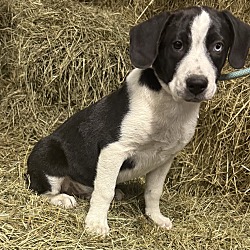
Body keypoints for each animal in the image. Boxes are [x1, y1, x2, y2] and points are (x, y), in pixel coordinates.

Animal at [26, 6, 249, 236]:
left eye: (218, 46)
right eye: (177, 45)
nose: (197, 84)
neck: (168, 104)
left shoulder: (165, 158)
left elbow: (153, 191)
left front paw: (155, 217)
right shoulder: (113, 149)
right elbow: (104, 191)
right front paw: (96, 223)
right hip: (47, 154)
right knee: (43, 191)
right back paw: (62, 198)